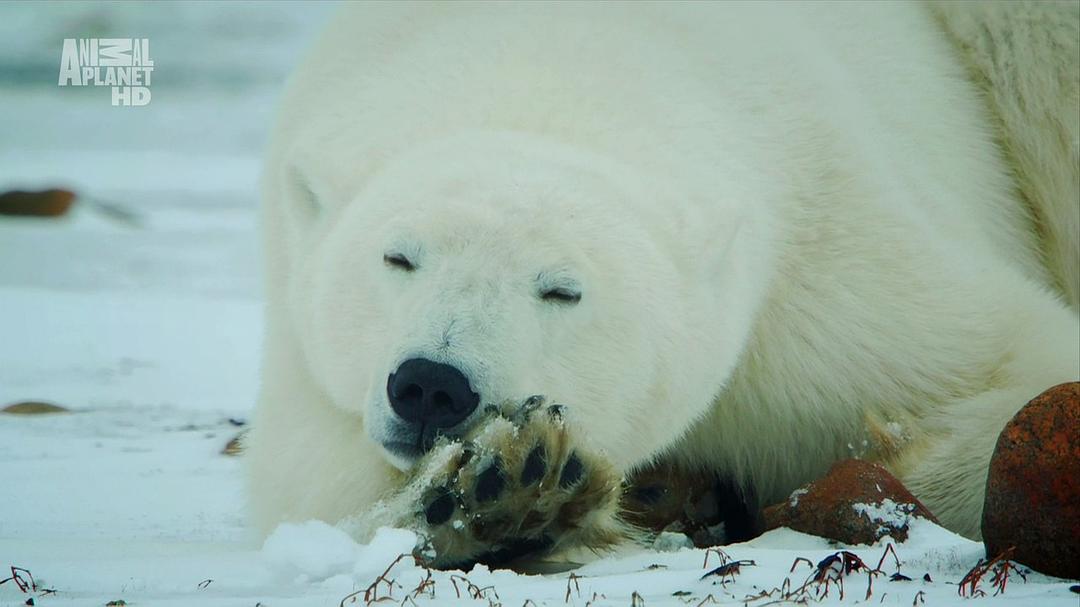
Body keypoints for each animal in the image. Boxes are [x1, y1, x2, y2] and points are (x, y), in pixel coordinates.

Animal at [245, 2, 1080, 565]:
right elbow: (319, 493)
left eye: (562, 289)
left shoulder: (830, 278)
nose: (430, 385)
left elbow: (1020, 358)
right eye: (399, 258)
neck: (547, 69)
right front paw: (503, 487)